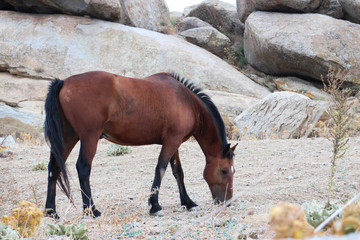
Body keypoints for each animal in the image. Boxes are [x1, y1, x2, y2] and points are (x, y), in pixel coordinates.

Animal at [43, 71, 238, 218]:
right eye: (224, 171)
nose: (227, 202)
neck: (186, 101)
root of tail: (63, 83)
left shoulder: (175, 143)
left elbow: (178, 172)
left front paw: (188, 203)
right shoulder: (171, 141)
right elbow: (160, 169)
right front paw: (155, 206)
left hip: (68, 138)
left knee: (54, 168)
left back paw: (51, 211)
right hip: (89, 137)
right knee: (83, 168)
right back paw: (91, 210)